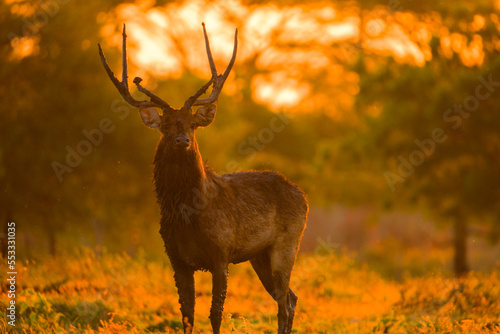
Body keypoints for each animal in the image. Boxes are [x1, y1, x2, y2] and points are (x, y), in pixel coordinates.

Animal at [97, 23, 308, 334]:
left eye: (192, 124)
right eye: (166, 125)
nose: (182, 140)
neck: (186, 215)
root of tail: (302, 196)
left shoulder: (221, 253)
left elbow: (215, 314)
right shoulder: (176, 258)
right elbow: (187, 314)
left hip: (288, 242)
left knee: (285, 301)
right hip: (259, 255)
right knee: (290, 297)